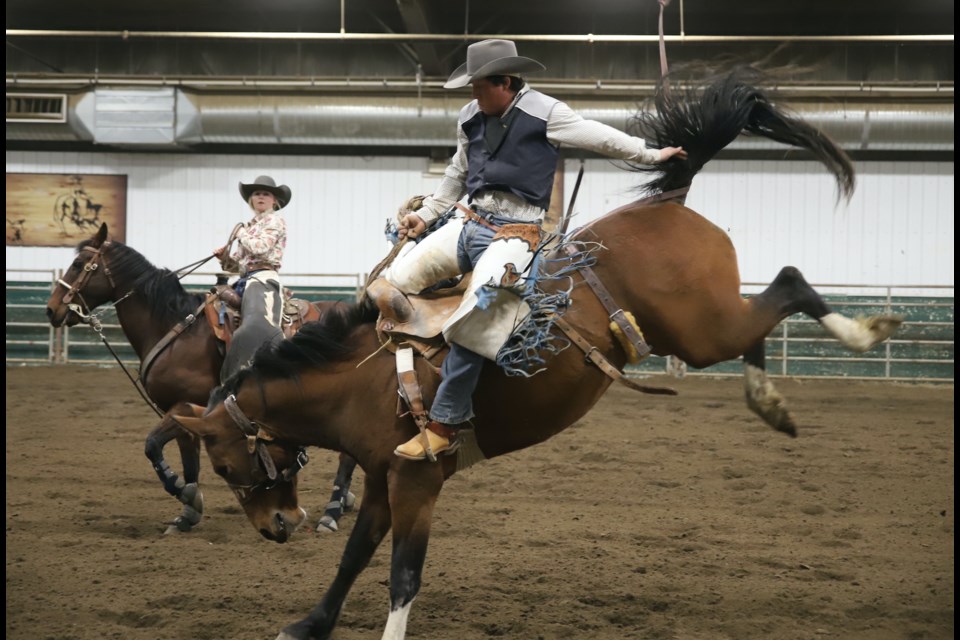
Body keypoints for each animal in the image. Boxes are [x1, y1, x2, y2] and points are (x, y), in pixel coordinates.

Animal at [169, 66, 896, 640]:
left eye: (227, 466)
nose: (278, 526)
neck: (361, 380)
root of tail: (673, 194)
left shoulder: (416, 482)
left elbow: (403, 575)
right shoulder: (380, 478)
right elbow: (354, 556)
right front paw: (310, 624)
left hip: (702, 328)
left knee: (790, 283)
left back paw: (861, 334)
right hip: (708, 327)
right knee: (761, 324)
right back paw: (770, 402)